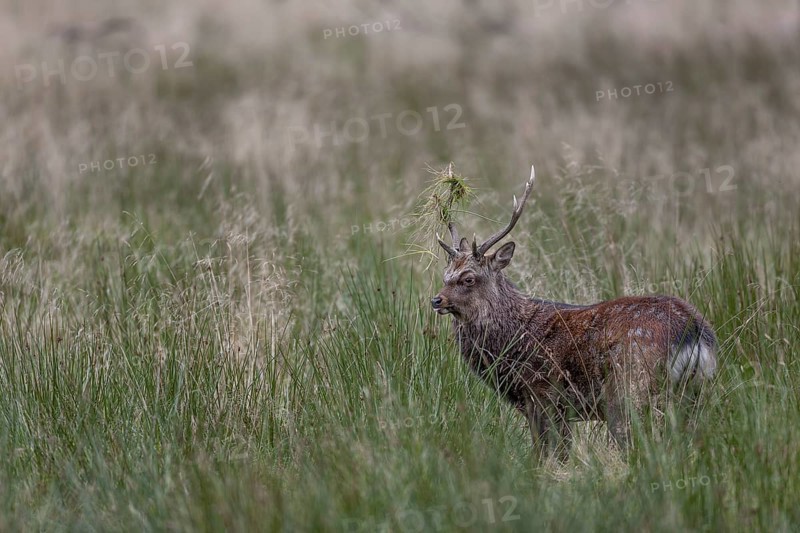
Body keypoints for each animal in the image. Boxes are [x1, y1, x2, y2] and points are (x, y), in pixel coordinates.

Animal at [431, 165, 717, 459]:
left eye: (468, 279)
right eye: (445, 275)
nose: (436, 300)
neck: (511, 341)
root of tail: (693, 333)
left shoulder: (543, 395)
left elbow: (550, 454)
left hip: (629, 388)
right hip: (696, 391)